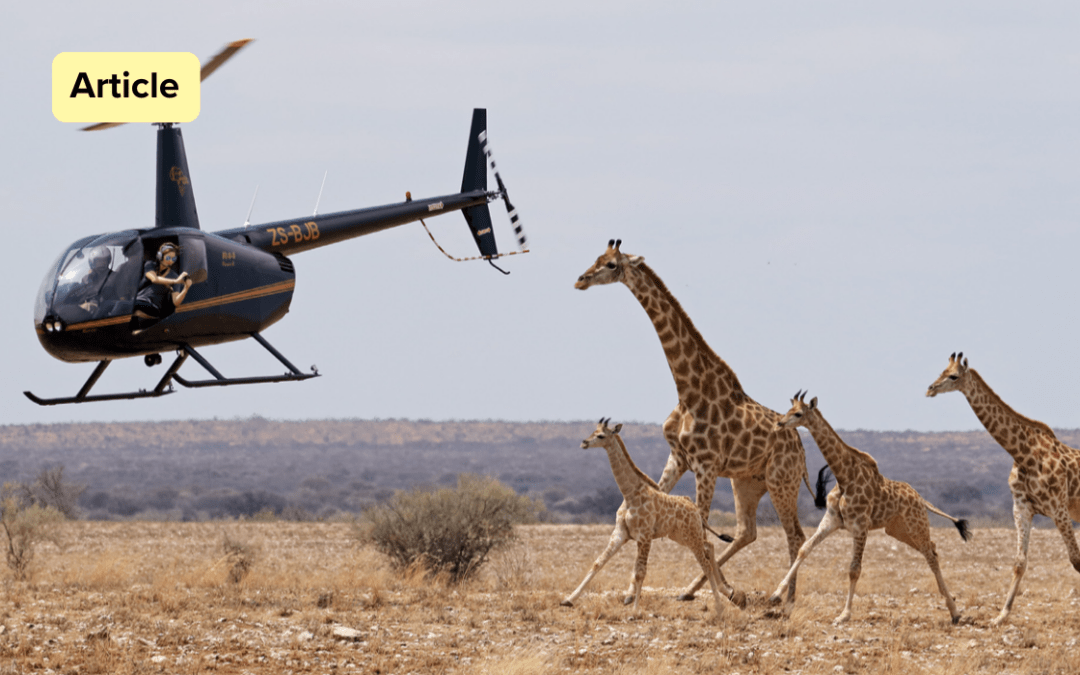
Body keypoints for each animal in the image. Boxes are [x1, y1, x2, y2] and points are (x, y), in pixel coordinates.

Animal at [560, 418, 734, 616]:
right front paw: (568, 600)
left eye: (601, 435)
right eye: (593, 431)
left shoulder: (644, 536)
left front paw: (635, 611)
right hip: (681, 536)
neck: (630, 494)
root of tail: (695, 508)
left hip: (691, 535)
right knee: (709, 547)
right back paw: (725, 596)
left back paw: (719, 606)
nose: (584, 443)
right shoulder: (620, 534)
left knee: (705, 563)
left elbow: (640, 572)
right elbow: (598, 563)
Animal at [575, 239, 813, 606]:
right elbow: (664, 504)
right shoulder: (679, 457)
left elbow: (701, 525)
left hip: (781, 481)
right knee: (747, 532)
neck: (688, 389)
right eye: (597, 258)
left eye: (612, 264)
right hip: (747, 482)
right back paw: (698, 590)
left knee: (796, 535)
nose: (581, 280)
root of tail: (801, 448)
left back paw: (783, 599)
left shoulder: (706, 464)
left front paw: (726, 590)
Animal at [768, 392, 970, 624]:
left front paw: (844, 615)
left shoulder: (860, 527)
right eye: (788, 410)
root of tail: (921, 499)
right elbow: (804, 549)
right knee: (933, 549)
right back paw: (952, 608)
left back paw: (955, 612)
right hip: (898, 530)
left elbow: (854, 570)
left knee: (930, 555)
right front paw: (775, 594)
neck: (845, 477)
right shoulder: (830, 521)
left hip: (915, 524)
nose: (779, 423)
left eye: (798, 414)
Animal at [927, 352, 1080, 626]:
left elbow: (1076, 560)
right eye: (940, 371)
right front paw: (1000, 616)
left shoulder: (1059, 509)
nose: (930, 389)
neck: (1024, 453)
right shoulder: (1022, 508)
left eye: (953, 376)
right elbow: (1019, 562)